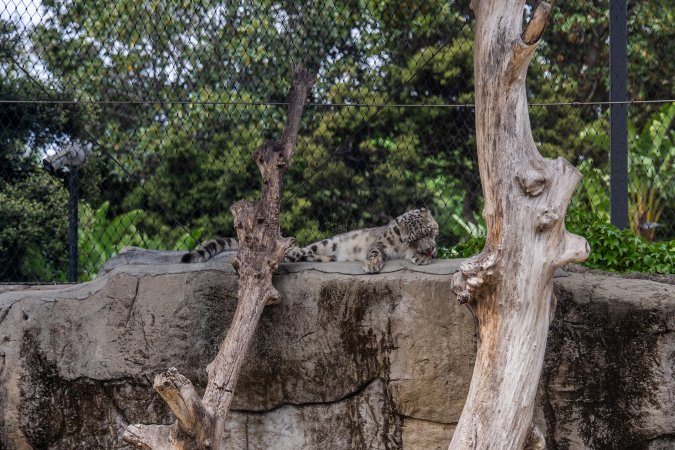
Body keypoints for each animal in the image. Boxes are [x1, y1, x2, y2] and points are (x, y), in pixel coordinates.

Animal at [181, 208, 439, 274]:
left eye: (429, 231)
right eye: (414, 238)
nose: (428, 247)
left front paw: (424, 256)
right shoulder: (380, 244)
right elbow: (374, 251)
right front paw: (372, 264)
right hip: (325, 243)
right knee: (299, 252)